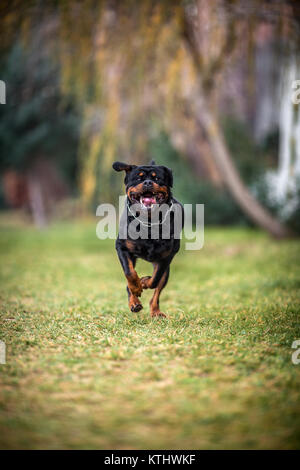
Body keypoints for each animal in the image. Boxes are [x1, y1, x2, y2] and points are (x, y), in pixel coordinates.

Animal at [112, 160, 183, 318]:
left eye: (157, 178)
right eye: (138, 178)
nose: (148, 182)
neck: (149, 222)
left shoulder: (167, 256)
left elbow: (155, 280)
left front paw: (144, 282)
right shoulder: (122, 247)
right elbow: (129, 273)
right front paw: (136, 287)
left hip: (166, 270)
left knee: (157, 291)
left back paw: (156, 311)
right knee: (128, 282)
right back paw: (134, 302)